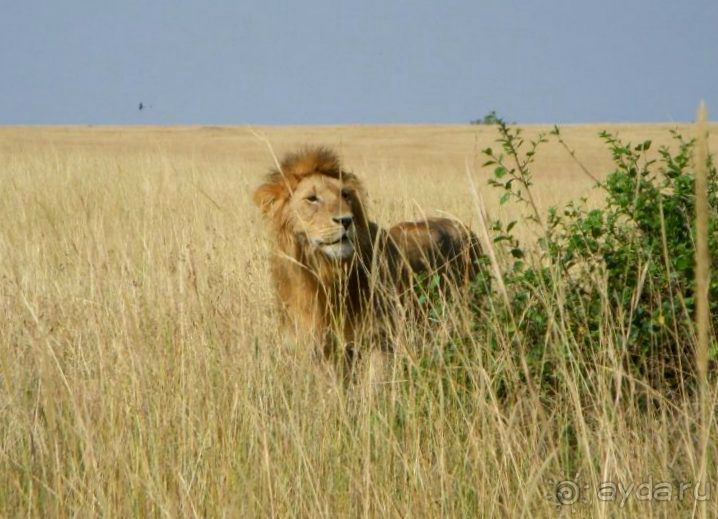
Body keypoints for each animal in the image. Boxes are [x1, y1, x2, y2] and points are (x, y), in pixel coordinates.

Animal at [253, 146, 484, 362]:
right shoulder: (320, 348)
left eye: (345, 195)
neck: (323, 274)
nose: (346, 220)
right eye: (312, 198)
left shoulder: (380, 338)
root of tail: (466, 229)